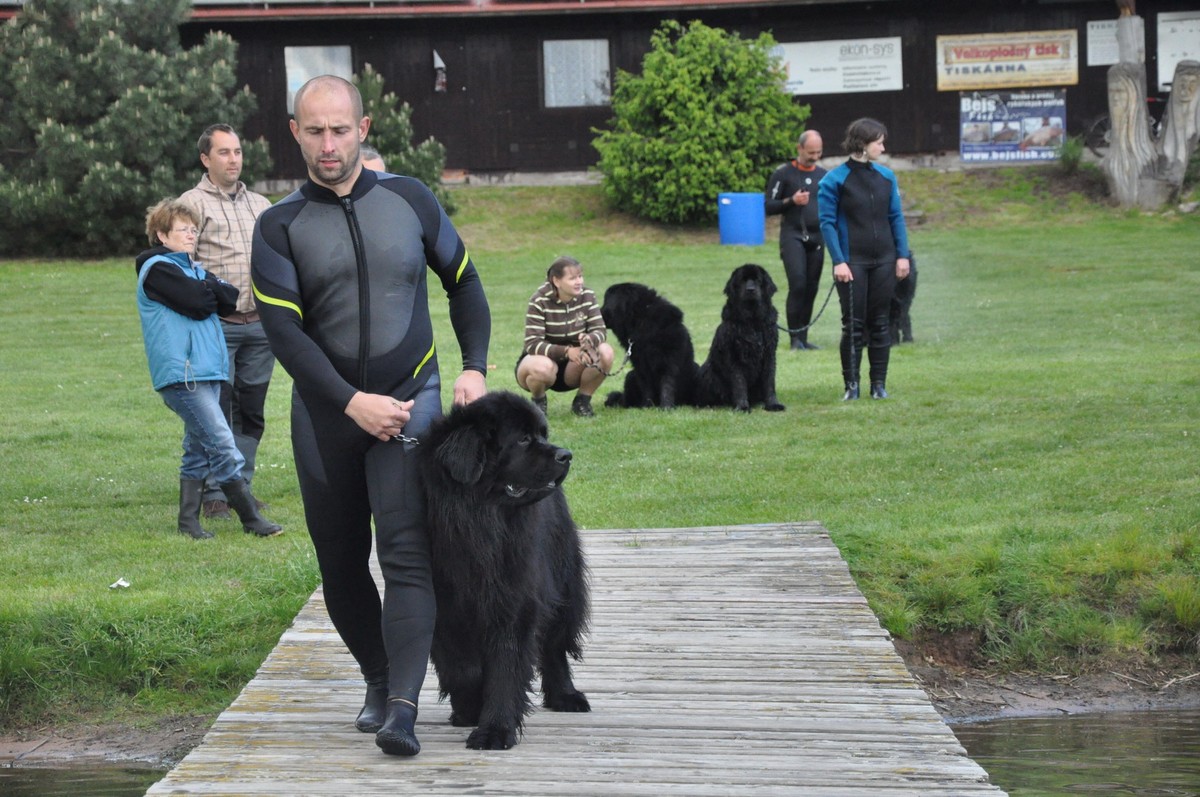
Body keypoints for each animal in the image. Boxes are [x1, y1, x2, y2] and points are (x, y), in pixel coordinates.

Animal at [420, 391, 591, 750]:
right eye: (524, 439)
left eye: (543, 434)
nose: (565, 455)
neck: (480, 524)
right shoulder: (443, 609)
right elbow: (462, 668)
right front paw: (468, 709)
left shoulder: (513, 601)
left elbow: (505, 667)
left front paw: (494, 730)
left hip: (563, 582)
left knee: (554, 645)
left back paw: (566, 695)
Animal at [692, 264, 786, 412]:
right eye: (742, 280)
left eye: (757, 280)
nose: (750, 290)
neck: (752, 321)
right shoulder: (733, 356)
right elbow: (739, 382)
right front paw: (742, 407)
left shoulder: (769, 354)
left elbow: (769, 380)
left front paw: (773, 404)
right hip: (708, 374)